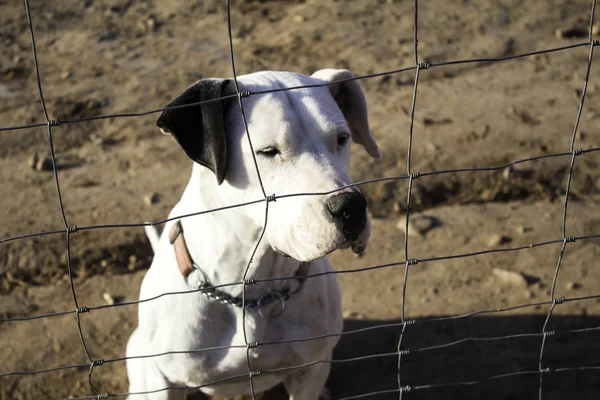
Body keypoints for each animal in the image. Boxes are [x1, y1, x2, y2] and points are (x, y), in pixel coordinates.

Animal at [126, 69, 380, 400]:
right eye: (268, 151)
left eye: (342, 138)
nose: (351, 207)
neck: (252, 289)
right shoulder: (162, 379)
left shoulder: (311, 368)